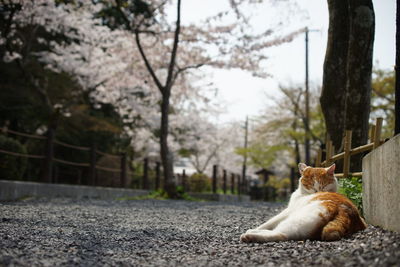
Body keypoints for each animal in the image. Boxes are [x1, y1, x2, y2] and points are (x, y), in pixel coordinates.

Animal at [239, 162, 368, 244]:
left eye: (323, 185)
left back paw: (250, 234)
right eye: (311, 185)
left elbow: (269, 222)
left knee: (282, 234)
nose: (317, 191)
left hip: (299, 217)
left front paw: (257, 227)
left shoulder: (288, 210)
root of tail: (349, 213)